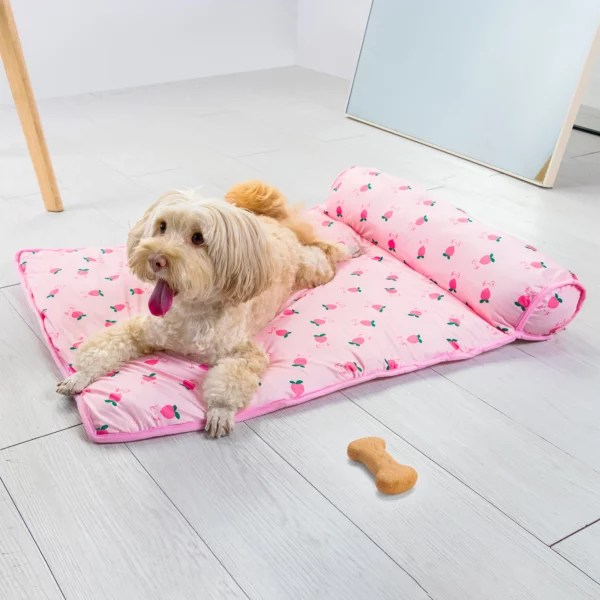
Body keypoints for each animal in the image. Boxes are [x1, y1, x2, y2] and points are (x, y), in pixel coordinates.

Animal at [56, 180, 352, 438]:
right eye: (162, 226)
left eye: (198, 238)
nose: (155, 259)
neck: (191, 312)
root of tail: (271, 221)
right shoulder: (141, 329)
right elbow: (105, 347)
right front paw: (80, 376)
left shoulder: (245, 353)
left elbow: (230, 379)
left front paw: (220, 411)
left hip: (312, 270)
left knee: (324, 252)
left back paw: (351, 247)